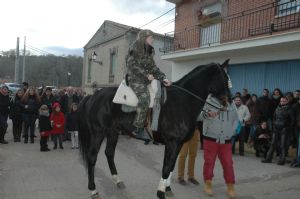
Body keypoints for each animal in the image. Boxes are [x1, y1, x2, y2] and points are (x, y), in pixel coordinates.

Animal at [78, 59, 232, 198]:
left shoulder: (177, 144)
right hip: (98, 133)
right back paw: (93, 190)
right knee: (92, 157)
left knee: (109, 153)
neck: (183, 102)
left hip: (113, 133)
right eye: (224, 78)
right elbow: (167, 168)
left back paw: (118, 180)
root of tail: (93, 96)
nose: (229, 102)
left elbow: (169, 166)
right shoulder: (172, 143)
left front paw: (167, 189)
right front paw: (160, 193)